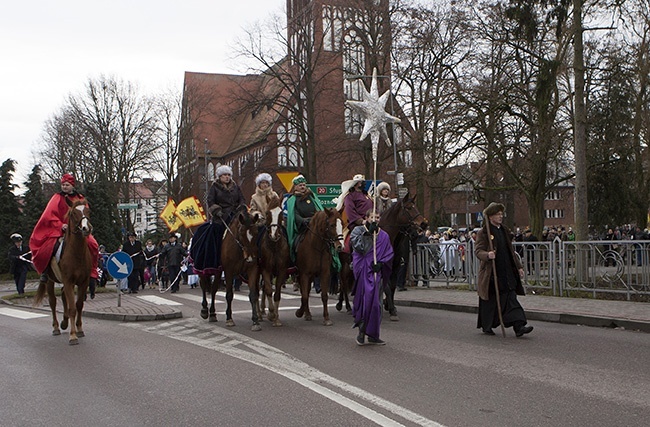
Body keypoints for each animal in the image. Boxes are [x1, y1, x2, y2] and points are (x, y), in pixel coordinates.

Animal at [32, 200, 92, 344]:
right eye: (74, 213)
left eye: (88, 211)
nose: (86, 228)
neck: (77, 253)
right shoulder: (68, 280)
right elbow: (72, 308)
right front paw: (73, 336)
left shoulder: (83, 282)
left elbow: (79, 305)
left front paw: (79, 329)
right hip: (49, 280)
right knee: (53, 302)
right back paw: (56, 327)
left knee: (64, 296)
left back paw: (64, 322)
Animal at [253, 196, 288, 328]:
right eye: (268, 213)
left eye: (281, 213)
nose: (274, 234)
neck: (274, 246)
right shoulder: (265, 270)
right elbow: (268, 290)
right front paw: (271, 314)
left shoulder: (282, 270)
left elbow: (276, 293)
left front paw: (276, 318)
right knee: (257, 290)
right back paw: (259, 314)